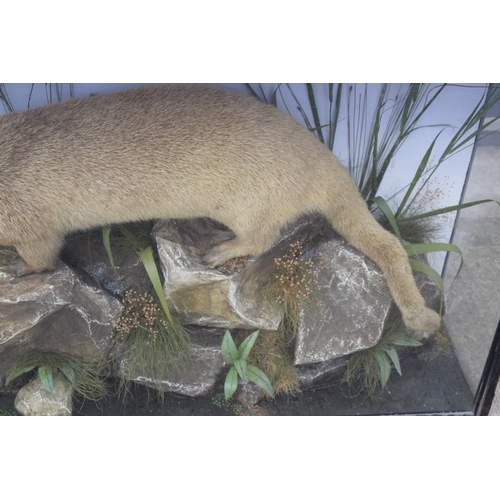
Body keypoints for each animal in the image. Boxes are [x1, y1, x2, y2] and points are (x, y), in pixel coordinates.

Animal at [0, 85, 440, 332]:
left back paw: (219, 250)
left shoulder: (30, 220)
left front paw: (16, 268)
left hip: (249, 202)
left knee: (263, 237)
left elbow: (42, 256)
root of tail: (323, 160)